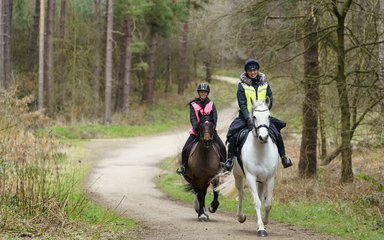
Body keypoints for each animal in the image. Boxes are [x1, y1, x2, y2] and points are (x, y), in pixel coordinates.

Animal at [222, 99, 280, 236]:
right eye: (254, 117)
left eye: (269, 116)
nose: (263, 137)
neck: (261, 151)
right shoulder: (251, 177)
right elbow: (257, 202)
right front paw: (261, 228)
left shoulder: (270, 178)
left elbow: (267, 203)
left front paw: (265, 222)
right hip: (238, 176)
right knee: (241, 193)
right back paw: (241, 216)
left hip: (261, 181)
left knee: (259, 196)